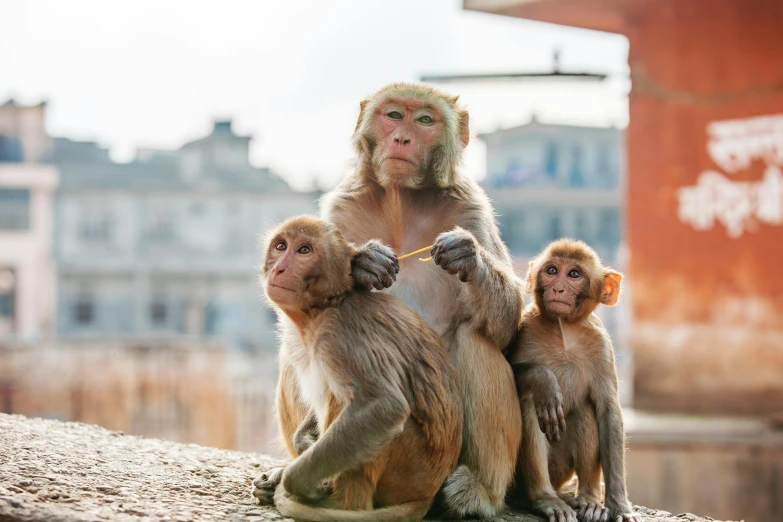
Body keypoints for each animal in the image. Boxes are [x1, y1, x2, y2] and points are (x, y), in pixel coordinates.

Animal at [258, 214, 462, 520]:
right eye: (281, 246)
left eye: (304, 251)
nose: (279, 268)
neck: (326, 306)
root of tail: (428, 494)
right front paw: (302, 445)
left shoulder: (342, 333)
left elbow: (383, 406)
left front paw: (296, 481)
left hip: (409, 468)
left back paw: (338, 504)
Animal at [512, 239, 640, 520]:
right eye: (551, 270)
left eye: (574, 274)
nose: (558, 288)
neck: (564, 331)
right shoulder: (524, 327)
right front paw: (544, 380)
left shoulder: (601, 346)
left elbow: (608, 413)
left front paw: (619, 504)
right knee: (530, 403)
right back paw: (545, 498)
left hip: (561, 470)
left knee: (584, 409)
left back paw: (589, 498)